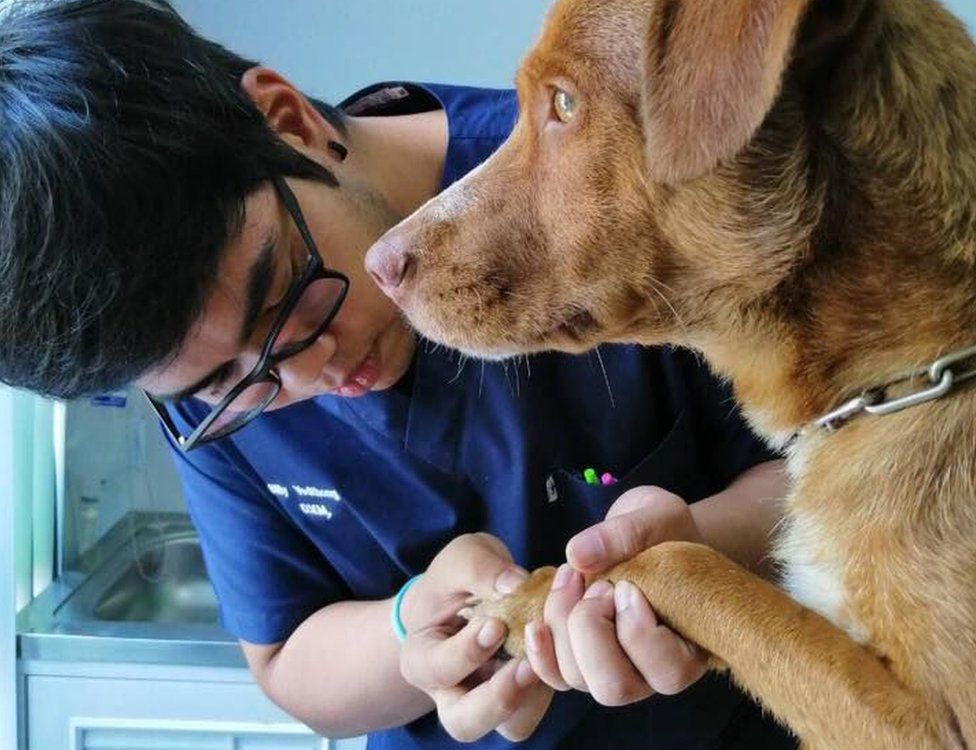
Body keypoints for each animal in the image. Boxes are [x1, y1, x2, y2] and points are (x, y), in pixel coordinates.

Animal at [362, 1, 976, 750]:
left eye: (563, 103)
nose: (376, 266)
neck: (895, 380)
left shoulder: (931, 726)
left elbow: (679, 558)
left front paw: (525, 600)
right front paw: (530, 594)